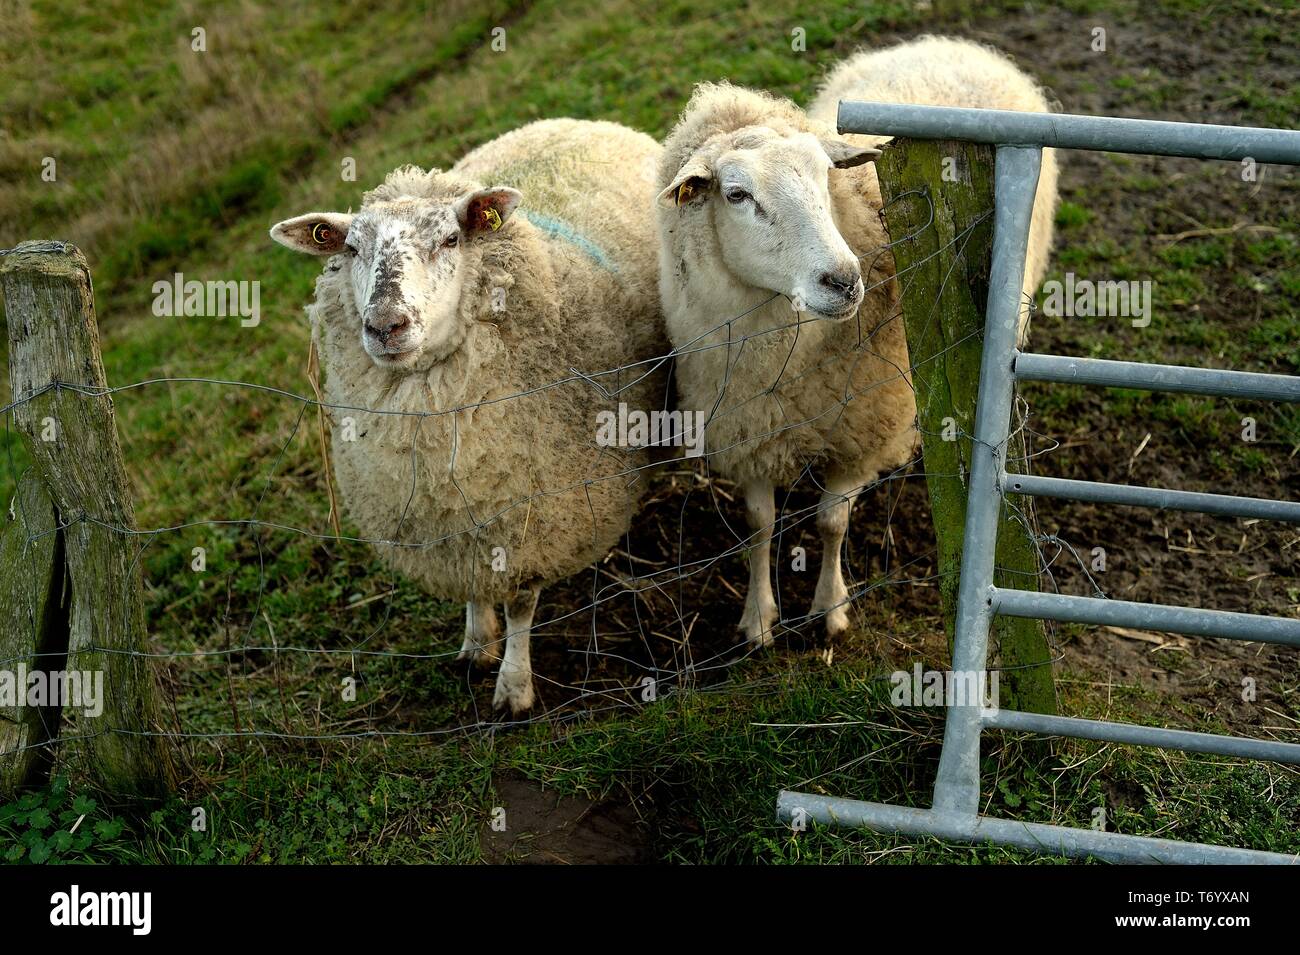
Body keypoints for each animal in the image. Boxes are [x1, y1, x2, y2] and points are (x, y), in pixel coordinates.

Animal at [267, 119, 665, 712]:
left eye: (451, 239)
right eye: (352, 247)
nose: (384, 325)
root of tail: (570, 121)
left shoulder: (530, 519)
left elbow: (521, 603)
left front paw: (514, 687)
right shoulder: (456, 520)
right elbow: (476, 587)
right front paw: (477, 644)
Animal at [655, 39, 1060, 649]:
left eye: (825, 177)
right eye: (737, 194)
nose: (844, 281)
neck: (785, 362)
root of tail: (951, 44)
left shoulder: (861, 429)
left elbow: (831, 522)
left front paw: (830, 609)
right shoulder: (748, 427)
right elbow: (759, 527)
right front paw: (759, 619)